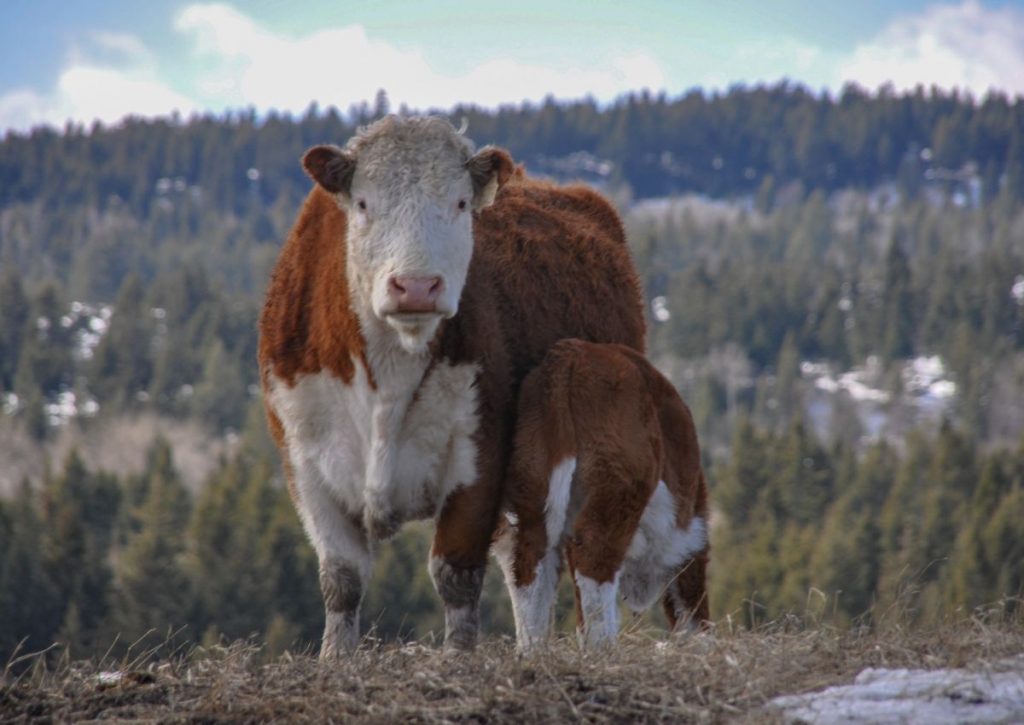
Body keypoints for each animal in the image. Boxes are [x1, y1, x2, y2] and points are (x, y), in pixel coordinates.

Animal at [258, 117, 638, 655]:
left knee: (534, 563)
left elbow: (456, 573)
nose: (416, 286)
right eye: (363, 203)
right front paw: (335, 657)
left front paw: (459, 655)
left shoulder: (478, 456)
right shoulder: (304, 463)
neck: (387, 377)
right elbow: (342, 579)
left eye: (460, 204)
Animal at [491, 339, 708, 651]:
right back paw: (602, 648)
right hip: (617, 492)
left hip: (532, 481)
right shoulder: (691, 541)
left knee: (528, 563)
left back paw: (532, 650)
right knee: (595, 558)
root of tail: (571, 354)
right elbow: (691, 603)